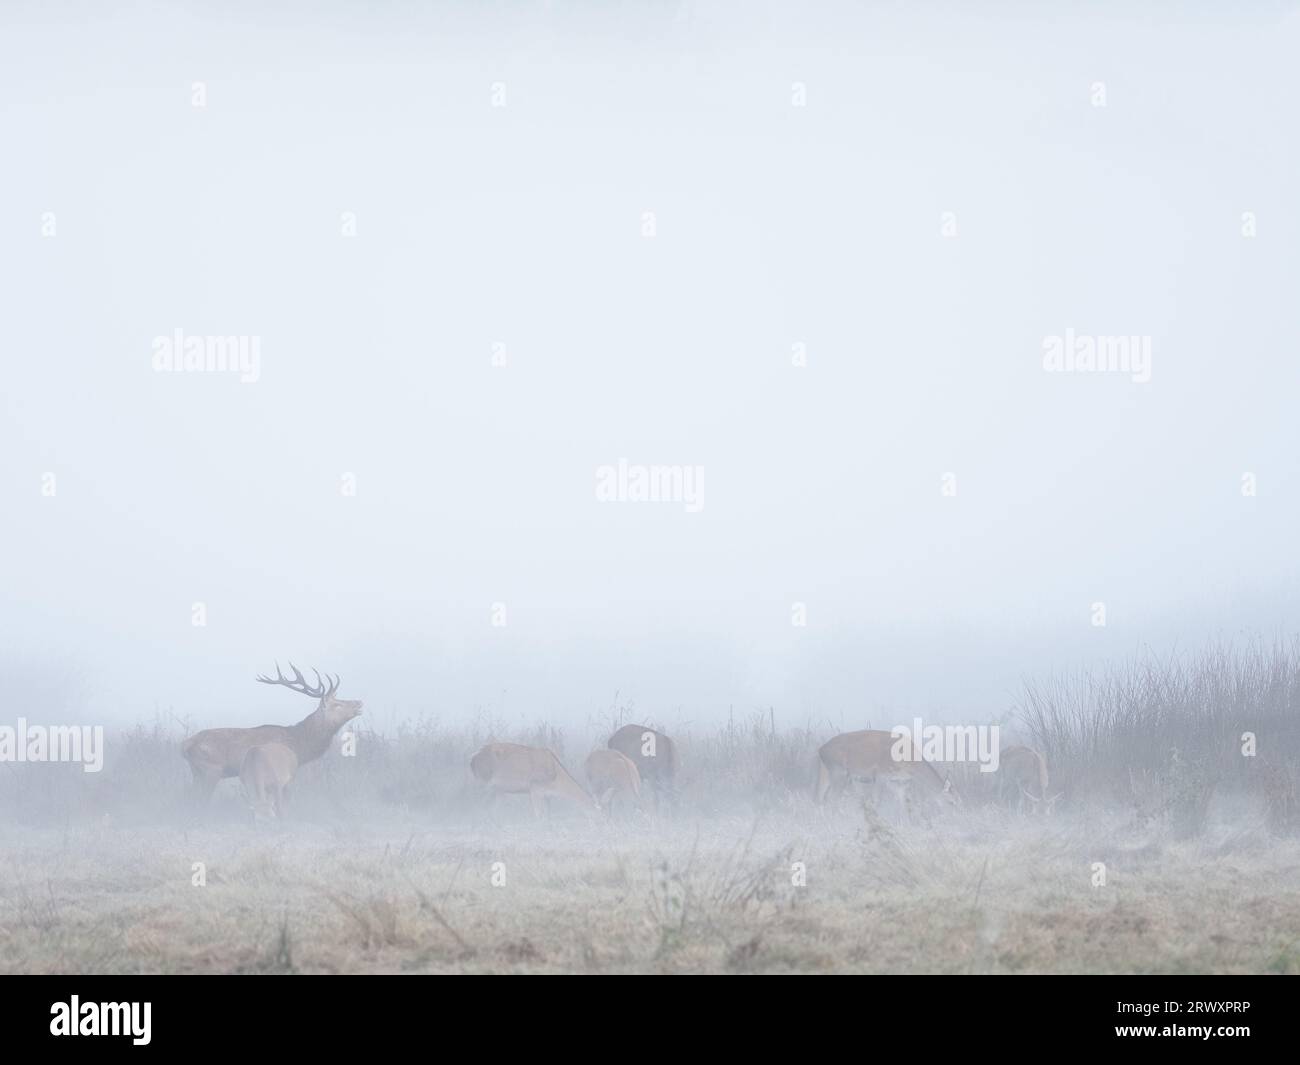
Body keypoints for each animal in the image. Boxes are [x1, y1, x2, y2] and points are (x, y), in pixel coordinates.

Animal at [179, 663, 361, 806]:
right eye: (337, 704)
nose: (359, 702)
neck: (299, 745)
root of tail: (185, 745)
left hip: (196, 771)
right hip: (210, 770)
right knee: (201, 798)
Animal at [467, 743, 598, 821]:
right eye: (600, 817)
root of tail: (473, 758)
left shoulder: (547, 795)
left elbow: (548, 814)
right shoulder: (535, 788)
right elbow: (538, 814)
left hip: (498, 789)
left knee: (491, 809)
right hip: (484, 782)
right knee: (477, 803)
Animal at [811, 728, 956, 821]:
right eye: (952, 802)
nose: (954, 819)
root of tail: (821, 749)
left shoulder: (899, 782)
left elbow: (902, 803)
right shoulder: (881, 775)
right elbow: (876, 801)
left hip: (825, 770)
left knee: (819, 796)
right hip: (839, 771)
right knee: (832, 798)